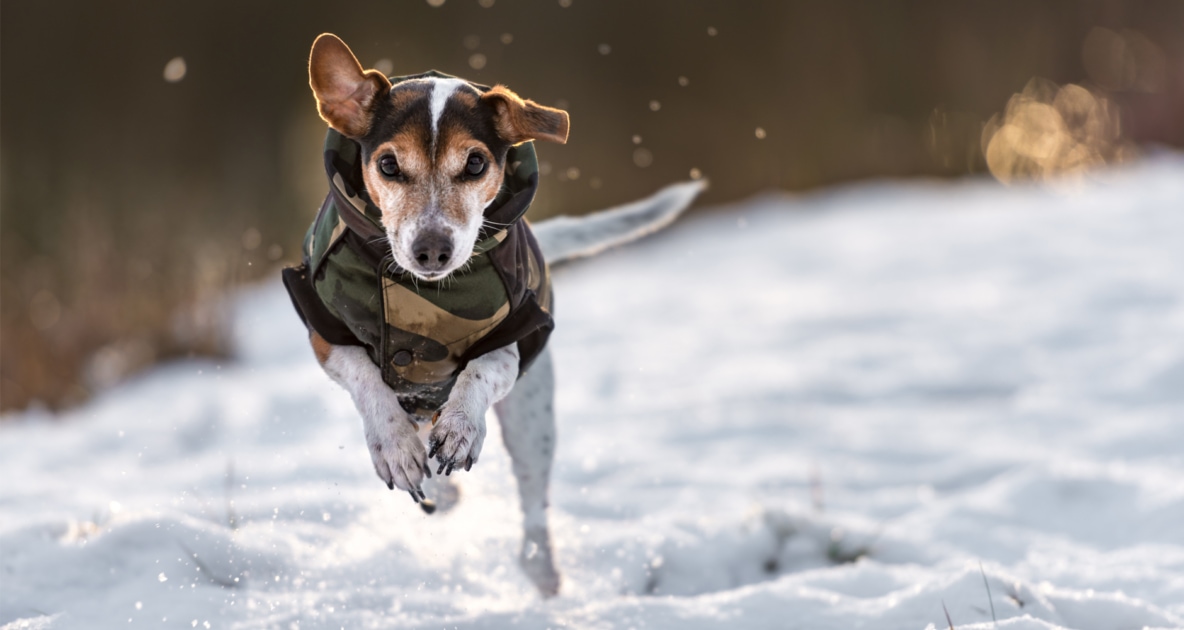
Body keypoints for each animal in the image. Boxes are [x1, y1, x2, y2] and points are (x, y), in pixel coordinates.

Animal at [281, 34, 705, 594]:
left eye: (476, 164)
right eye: (389, 166)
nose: (432, 250)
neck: (422, 293)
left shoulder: (517, 335)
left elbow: (481, 369)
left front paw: (462, 426)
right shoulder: (325, 333)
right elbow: (366, 378)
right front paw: (393, 445)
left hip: (532, 418)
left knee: (532, 503)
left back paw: (541, 569)